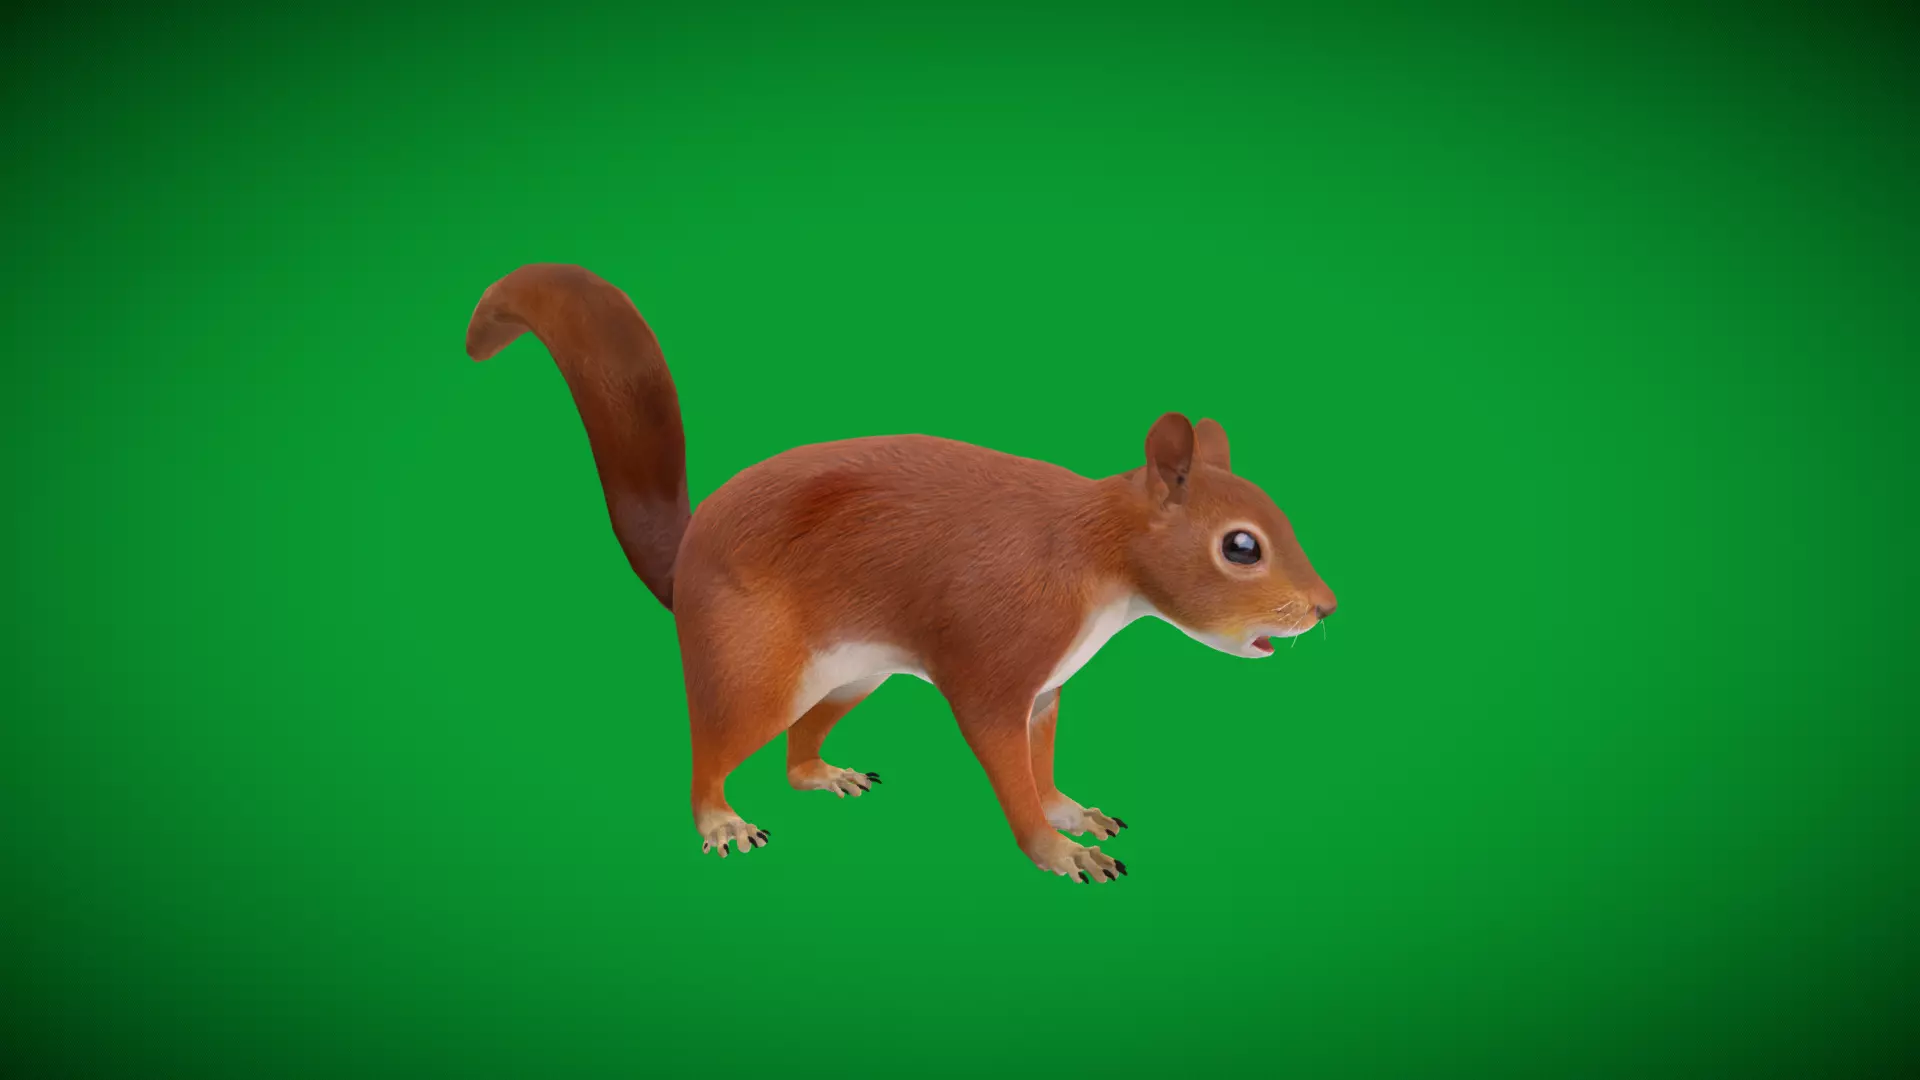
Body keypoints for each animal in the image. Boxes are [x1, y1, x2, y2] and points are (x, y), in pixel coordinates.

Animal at [465, 263, 1337, 883]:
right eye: (1241, 546)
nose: (1325, 608)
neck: (1099, 557)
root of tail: (685, 558)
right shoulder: (996, 664)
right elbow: (1008, 768)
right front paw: (1056, 850)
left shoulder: (1046, 688)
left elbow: (1042, 760)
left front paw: (1071, 810)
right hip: (755, 666)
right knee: (713, 750)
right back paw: (719, 819)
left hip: (852, 676)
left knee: (793, 755)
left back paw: (824, 772)